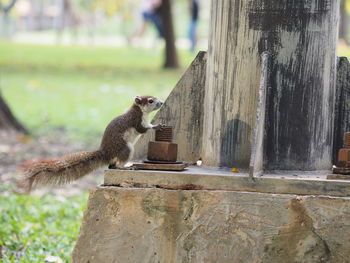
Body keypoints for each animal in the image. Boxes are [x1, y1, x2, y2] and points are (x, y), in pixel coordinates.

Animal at [20, 96, 164, 193]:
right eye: (151, 100)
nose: (161, 102)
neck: (140, 111)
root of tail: (106, 152)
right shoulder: (135, 120)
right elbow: (142, 129)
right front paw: (156, 126)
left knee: (112, 166)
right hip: (125, 148)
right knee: (117, 165)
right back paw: (126, 167)